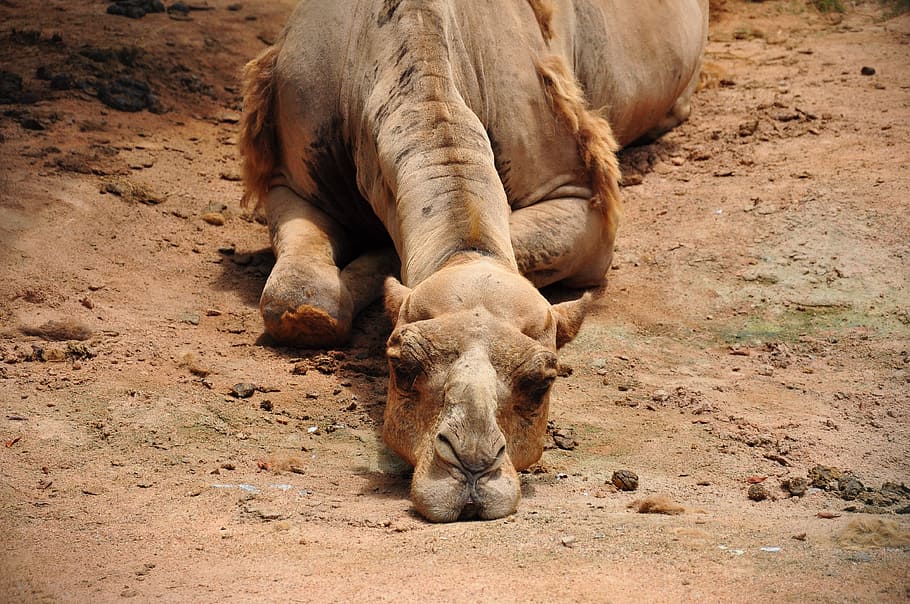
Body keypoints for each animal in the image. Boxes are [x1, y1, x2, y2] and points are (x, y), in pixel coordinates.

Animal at [239, 0, 709, 522]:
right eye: (401, 366)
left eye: (541, 383)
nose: (471, 467)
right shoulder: (288, 178)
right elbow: (300, 300)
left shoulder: (581, 199)